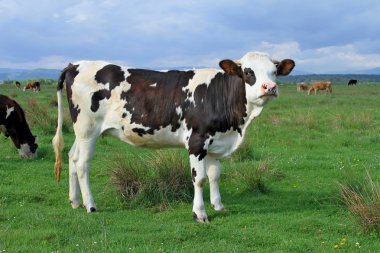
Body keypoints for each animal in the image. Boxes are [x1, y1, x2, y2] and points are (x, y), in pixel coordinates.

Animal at [52, 51, 296, 221]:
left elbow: (215, 175)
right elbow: (199, 178)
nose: (270, 87)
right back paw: (90, 205)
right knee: (82, 164)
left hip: (81, 132)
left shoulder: (216, 142)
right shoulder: (197, 141)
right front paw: (200, 214)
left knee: (72, 157)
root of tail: (75, 64)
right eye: (248, 72)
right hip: (88, 129)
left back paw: (75, 201)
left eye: (274, 71)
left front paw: (218, 206)